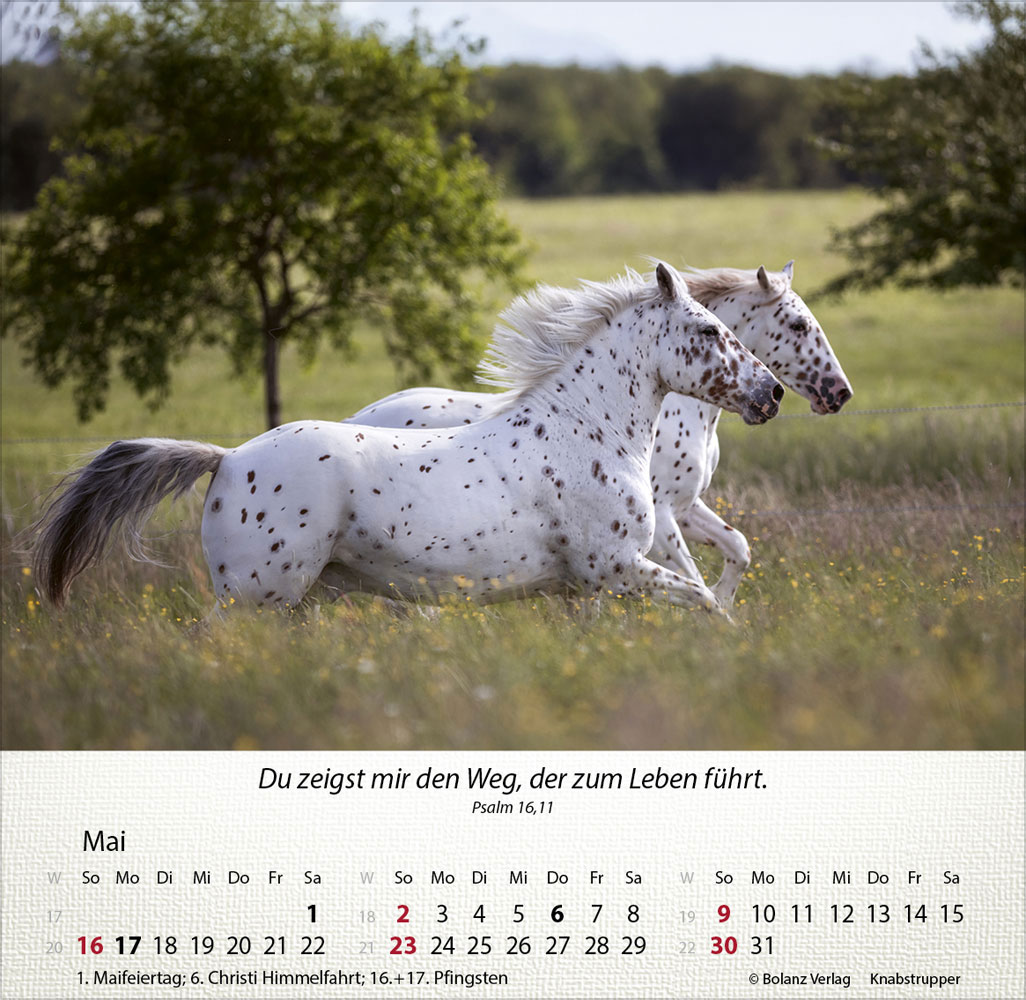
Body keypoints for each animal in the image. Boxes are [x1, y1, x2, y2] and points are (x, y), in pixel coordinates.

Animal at [31, 263, 783, 614]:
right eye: (709, 331)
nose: (771, 392)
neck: (585, 433)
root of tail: (227, 459)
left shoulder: (587, 586)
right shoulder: (617, 567)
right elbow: (703, 600)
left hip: (290, 600)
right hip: (254, 596)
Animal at [346, 261, 852, 608]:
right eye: (798, 324)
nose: (839, 392)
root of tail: (356, 418)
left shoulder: (686, 507)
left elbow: (737, 549)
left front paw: (726, 603)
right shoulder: (664, 516)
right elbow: (690, 574)